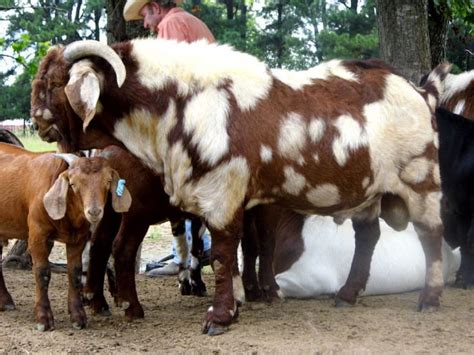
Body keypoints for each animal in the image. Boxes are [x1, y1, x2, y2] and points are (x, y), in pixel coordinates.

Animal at [0, 143, 131, 332]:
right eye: (73, 183)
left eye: (107, 181)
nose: (94, 211)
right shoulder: (38, 234)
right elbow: (42, 273)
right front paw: (44, 318)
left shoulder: (78, 239)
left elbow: (75, 273)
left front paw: (78, 317)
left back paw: (5, 301)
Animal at [32, 39, 448, 336]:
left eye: (54, 83)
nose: (36, 120)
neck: (181, 102)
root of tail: (418, 92)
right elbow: (238, 253)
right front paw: (238, 303)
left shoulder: (224, 191)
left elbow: (223, 255)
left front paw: (220, 315)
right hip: (369, 190)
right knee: (368, 236)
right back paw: (348, 294)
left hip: (420, 178)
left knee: (431, 234)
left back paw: (430, 298)